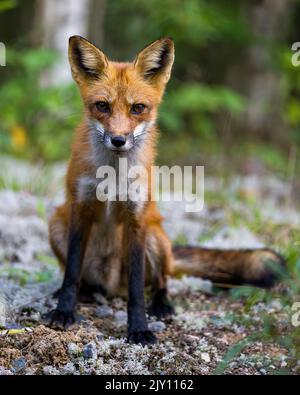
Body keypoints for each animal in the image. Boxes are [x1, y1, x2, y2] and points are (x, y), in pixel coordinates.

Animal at [45, 38, 284, 346]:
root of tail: (110, 285)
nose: (118, 140)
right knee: (83, 279)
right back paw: (84, 292)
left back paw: (162, 305)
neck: (113, 175)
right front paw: (63, 311)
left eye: (138, 108)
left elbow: (136, 290)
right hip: (57, 224)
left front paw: (138, 328)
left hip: (155, 239)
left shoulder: (136, 219)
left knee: (160, 281)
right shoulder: (81, 207)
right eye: (102, 106)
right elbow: (71, 273)